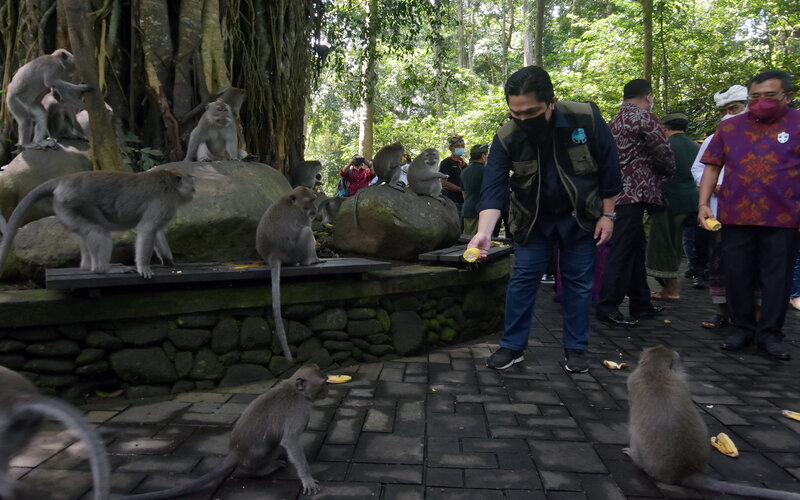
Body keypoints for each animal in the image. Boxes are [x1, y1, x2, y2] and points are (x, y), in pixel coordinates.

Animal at [0, 166, 195, 280]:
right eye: (191, 183)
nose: (194, 190)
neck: (171, 185)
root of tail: (64, 180)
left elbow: (155, 231)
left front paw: (168, 259)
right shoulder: (164, 202)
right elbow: (147, 228)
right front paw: (144, 267)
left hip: (65, 210)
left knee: (85, 235)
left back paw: (87, 266)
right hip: (74, 203)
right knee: (98, 231)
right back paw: (103, 269)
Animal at [122, 364, 328, 500]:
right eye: (324, 382)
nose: (328, 389)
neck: (296, 390)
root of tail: (235, 452)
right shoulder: (299, 411)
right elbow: (290, 441)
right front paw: (307, 479)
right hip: (256, 457)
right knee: (273, 444)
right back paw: (265, 470)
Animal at [255, 186, 320, 362]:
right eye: (310, 201)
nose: (315, 210)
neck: (292, 202)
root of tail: (273, 254)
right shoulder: (302, 215)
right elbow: (307, 227)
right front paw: (316, 258)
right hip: (294, 252)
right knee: (306, 231)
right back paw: (308, 261)